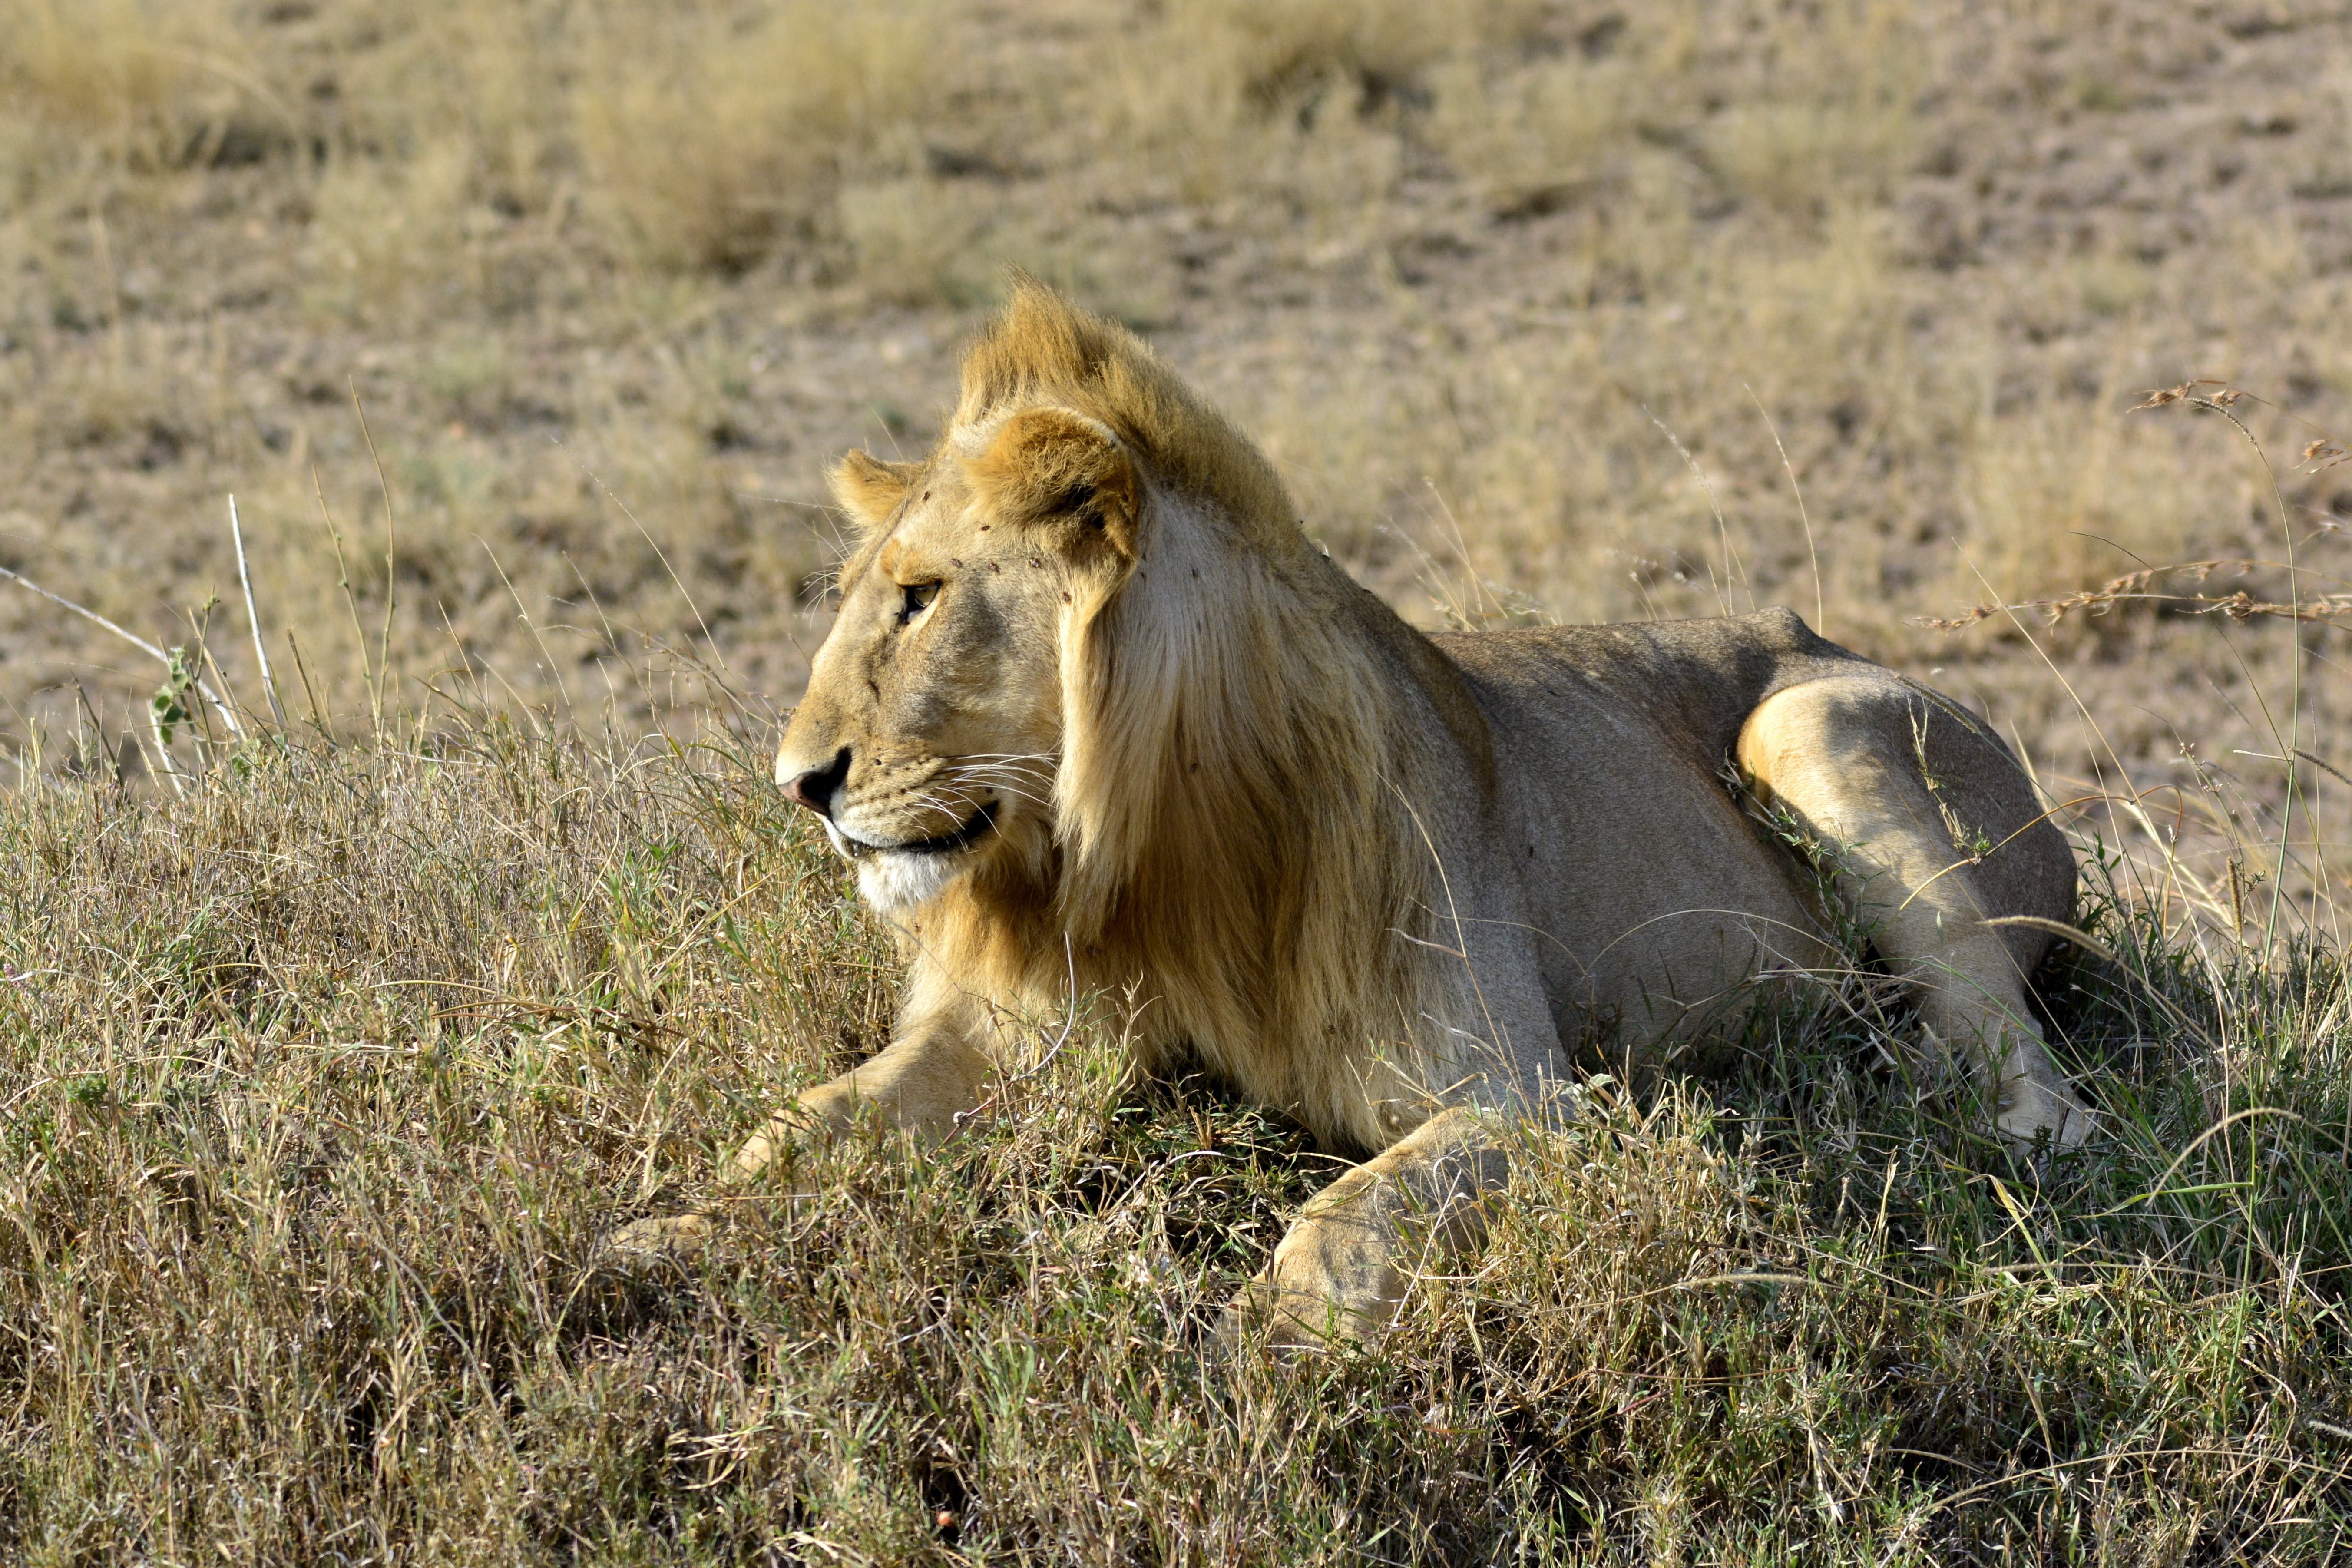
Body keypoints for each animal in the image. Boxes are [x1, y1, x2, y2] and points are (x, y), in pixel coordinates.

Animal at [630, 281, 2088, 1345]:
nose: (796, 783)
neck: (1148, 847)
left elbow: (1337, 1226)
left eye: (922, 598)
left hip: (1810, 720)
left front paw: (1243, 1361)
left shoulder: (1521, 1098)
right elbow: (799, 1126)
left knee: (2020, 1062)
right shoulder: (1020, 1036)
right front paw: (660, 1239)